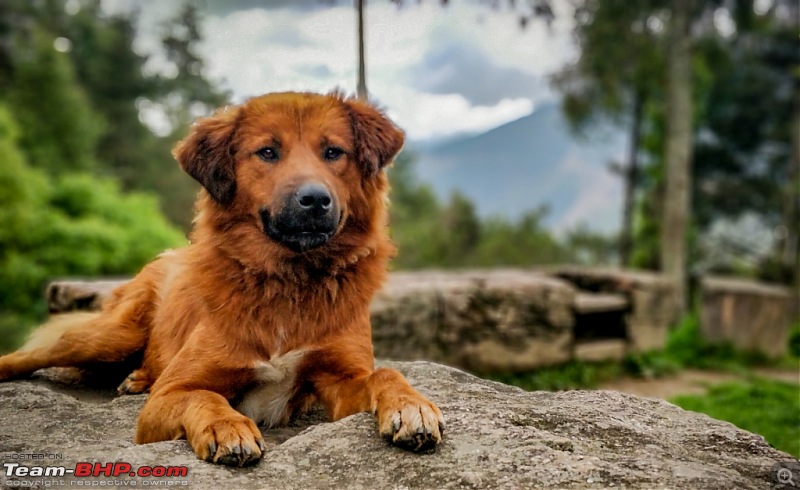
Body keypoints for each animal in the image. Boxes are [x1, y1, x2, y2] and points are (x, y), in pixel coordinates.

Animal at [0, 93, 444, 468]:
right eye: (267, 152)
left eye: (334, 152)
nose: (316, 200)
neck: (287, 281)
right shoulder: (166, 399)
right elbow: (204, 394)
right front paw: (226, 425)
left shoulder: (340, 381)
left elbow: (385, 374)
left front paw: (411, 406)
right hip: (109, 336)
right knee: (35, 353)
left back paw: (137, 376)